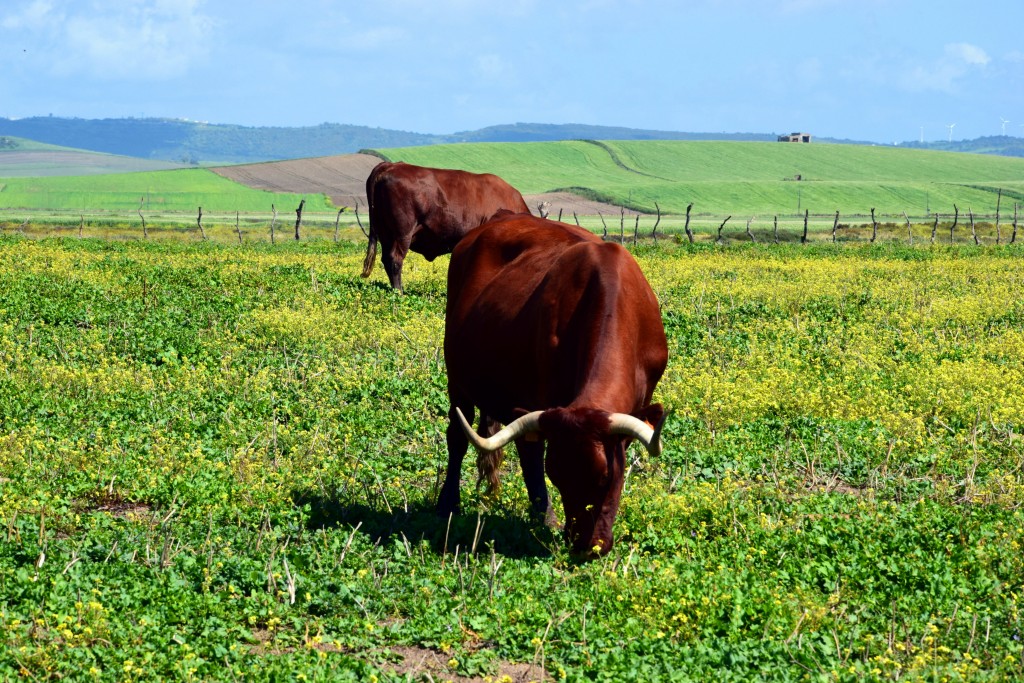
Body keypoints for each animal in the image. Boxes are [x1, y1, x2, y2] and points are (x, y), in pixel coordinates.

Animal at [442, 214, 671, 561]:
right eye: (558, 476)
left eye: (606, 477)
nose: (585, 546)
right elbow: (533, 459)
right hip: (458, 380)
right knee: (461, 437)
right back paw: (451, 504)